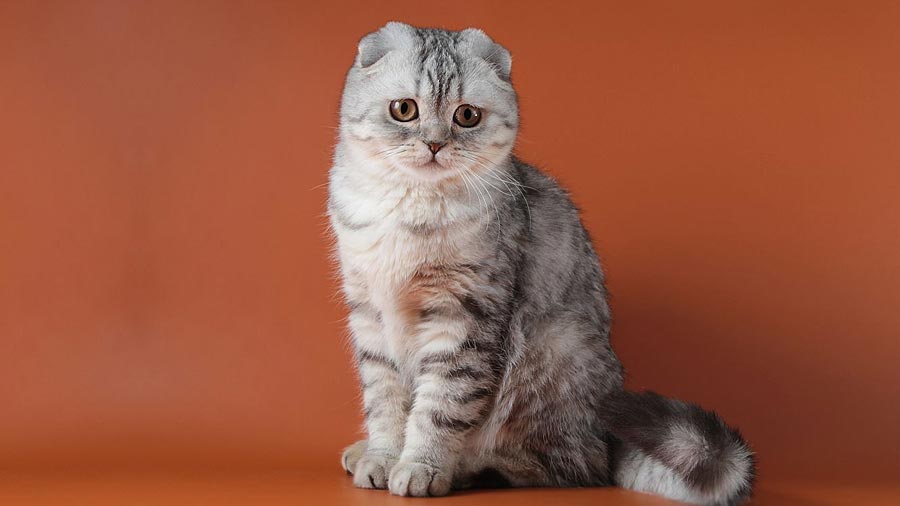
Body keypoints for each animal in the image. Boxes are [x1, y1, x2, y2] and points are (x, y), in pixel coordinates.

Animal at [326, 20, 756, 506]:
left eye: (466, 116)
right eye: (404, 110)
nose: (435, 144)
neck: (410, 212)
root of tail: (610, 442)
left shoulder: (465, 317)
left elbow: (439, 407)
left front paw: (422, 466)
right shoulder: (370, 314)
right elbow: (384, 400)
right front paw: (382, 456)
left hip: (550, 350)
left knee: (570, 466)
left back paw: (471, 469)